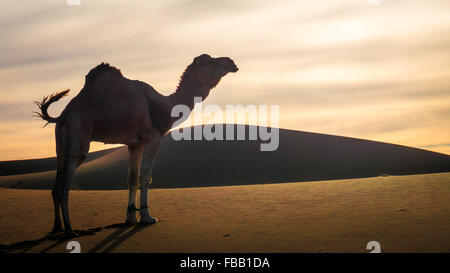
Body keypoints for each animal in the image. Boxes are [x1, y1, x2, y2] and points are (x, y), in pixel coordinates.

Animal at [34, 53, 239, 236]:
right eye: (210, 60)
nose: (231, 62)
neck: (165, 106)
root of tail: (62, 116)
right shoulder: (153, 138)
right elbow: (145, 175)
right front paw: (148, 217)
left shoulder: (135, 144)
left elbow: (131, 177)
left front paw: (131, 217)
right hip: (78, 135)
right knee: (65, 184)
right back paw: (70, 230)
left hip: (61, 142)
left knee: (57, 182)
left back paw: (56, 228)